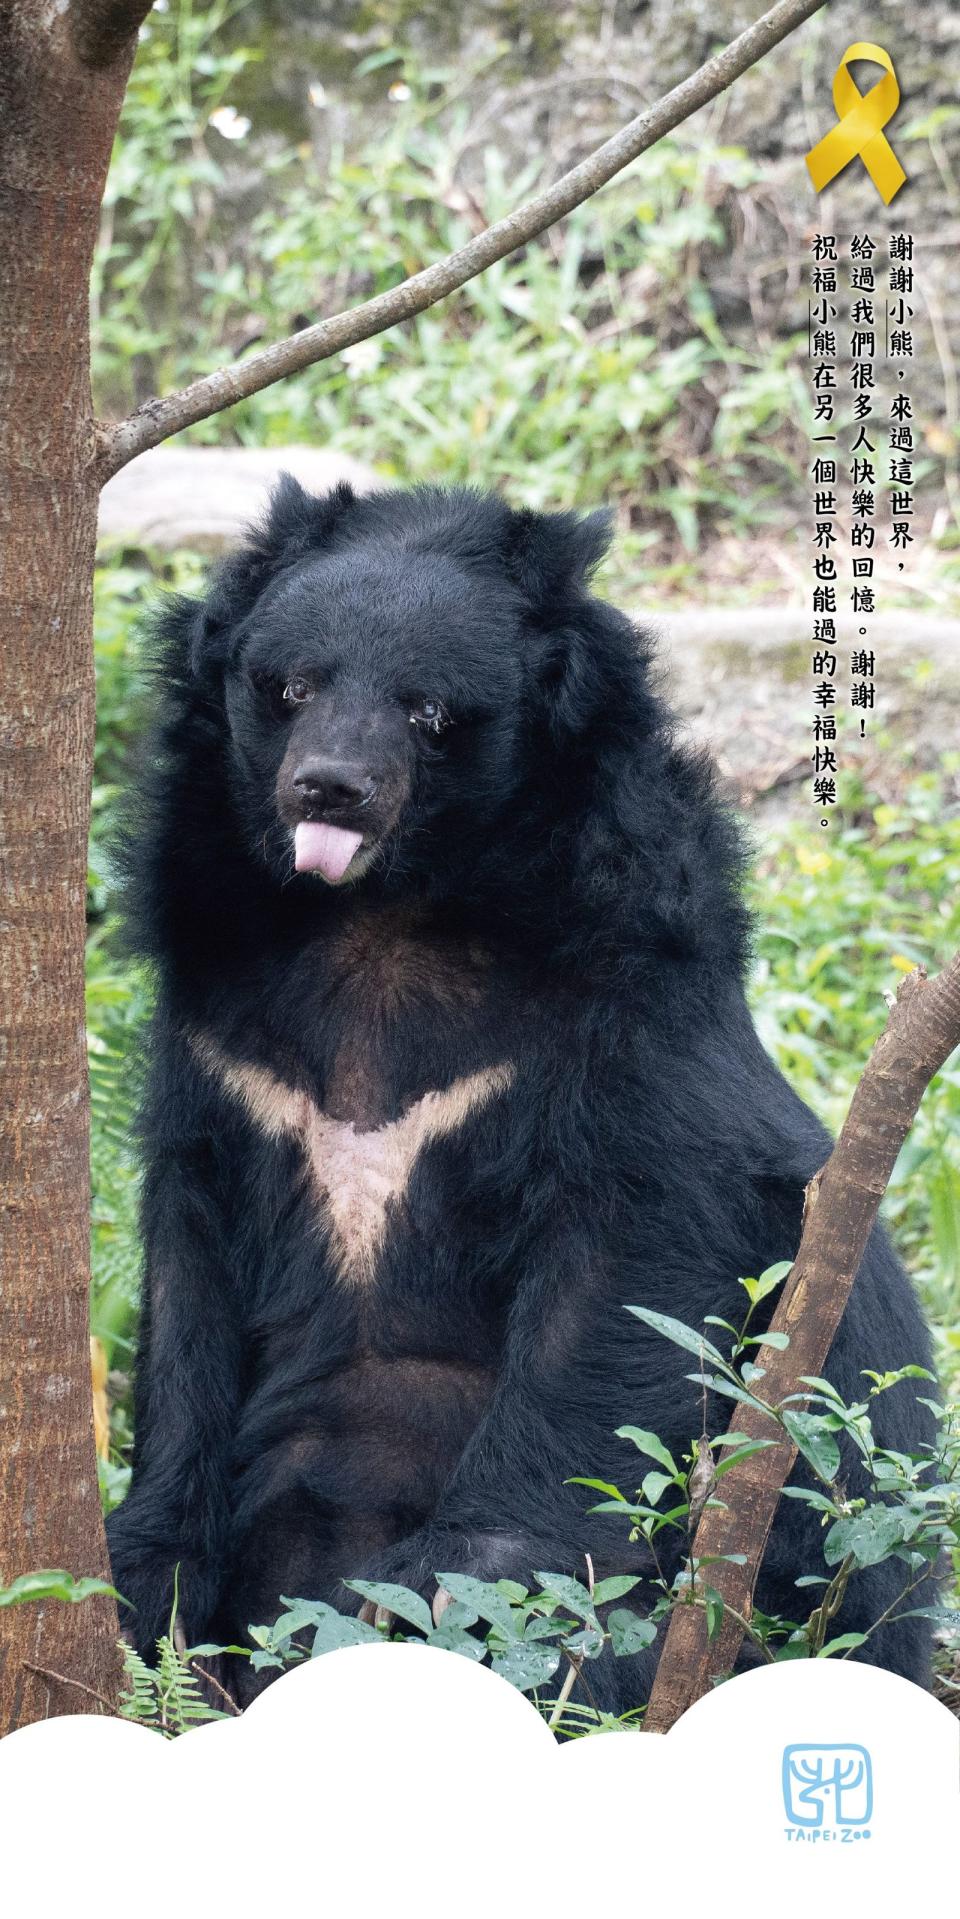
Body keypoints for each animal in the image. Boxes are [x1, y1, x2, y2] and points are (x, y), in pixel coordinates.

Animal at [108, 483, 933, 1711]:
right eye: (290, 685)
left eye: (430, 711)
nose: (328, 788)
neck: (380, 914)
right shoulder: (220, 1039)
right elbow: (189, 1284)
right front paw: (145, 1575)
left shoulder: (620, 1007)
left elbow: (620, 1275)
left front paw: (453, 1592)